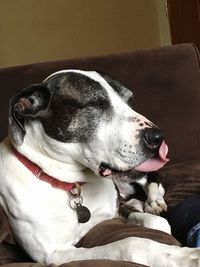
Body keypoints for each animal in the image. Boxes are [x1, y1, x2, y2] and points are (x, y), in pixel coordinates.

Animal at [0, 70, 199, 267]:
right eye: (96, 104)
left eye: (129, 101)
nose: (159, 137)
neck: (72, 184)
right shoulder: (54, 255)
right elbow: (130, 243)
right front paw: (187, 256)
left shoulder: (117, 210)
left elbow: (160, 224)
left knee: (152, 179)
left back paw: (153, 201)